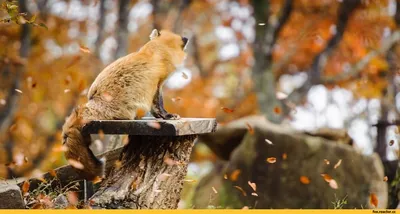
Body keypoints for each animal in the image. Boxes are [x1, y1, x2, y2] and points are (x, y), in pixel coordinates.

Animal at [61, 29, 189, 181]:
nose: (186, 38)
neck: (158, 50)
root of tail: (91, 105)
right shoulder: (156, 85)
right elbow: (159, 106)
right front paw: (167, 116)